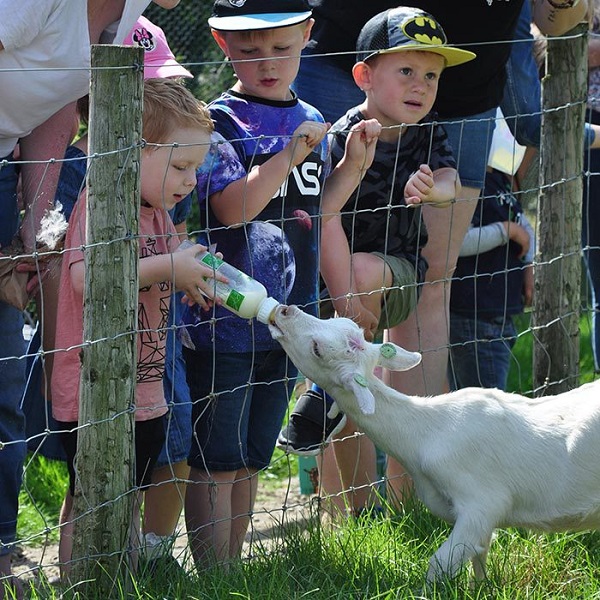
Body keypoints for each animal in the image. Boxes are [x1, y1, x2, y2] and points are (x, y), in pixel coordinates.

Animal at [268, 304, 600, 580]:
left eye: (317, 349)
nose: (284, 310)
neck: (426, 431)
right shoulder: (473, 520)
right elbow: (478, 561)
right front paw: (482, 589)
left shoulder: (482, 504)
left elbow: (437, 566)